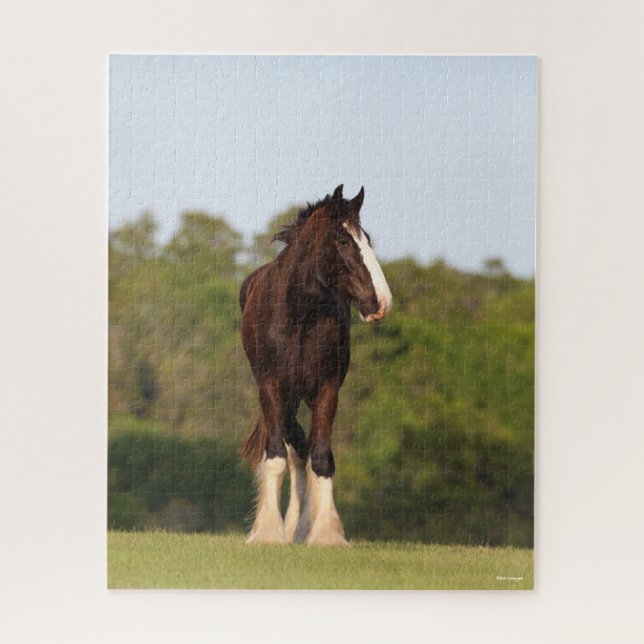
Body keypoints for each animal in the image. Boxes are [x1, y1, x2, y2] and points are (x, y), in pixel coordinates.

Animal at [239, 184, 392, 546]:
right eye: (344, 241)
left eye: (367, 238)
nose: (381, 302)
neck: (300, 317)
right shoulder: (272, 389)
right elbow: (276, 455)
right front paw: (268, 531)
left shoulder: (327, 390)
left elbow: (321, 456)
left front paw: (325, 533)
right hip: (282, 400)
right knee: (292, 447)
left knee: (303, 449)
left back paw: (299, 526)